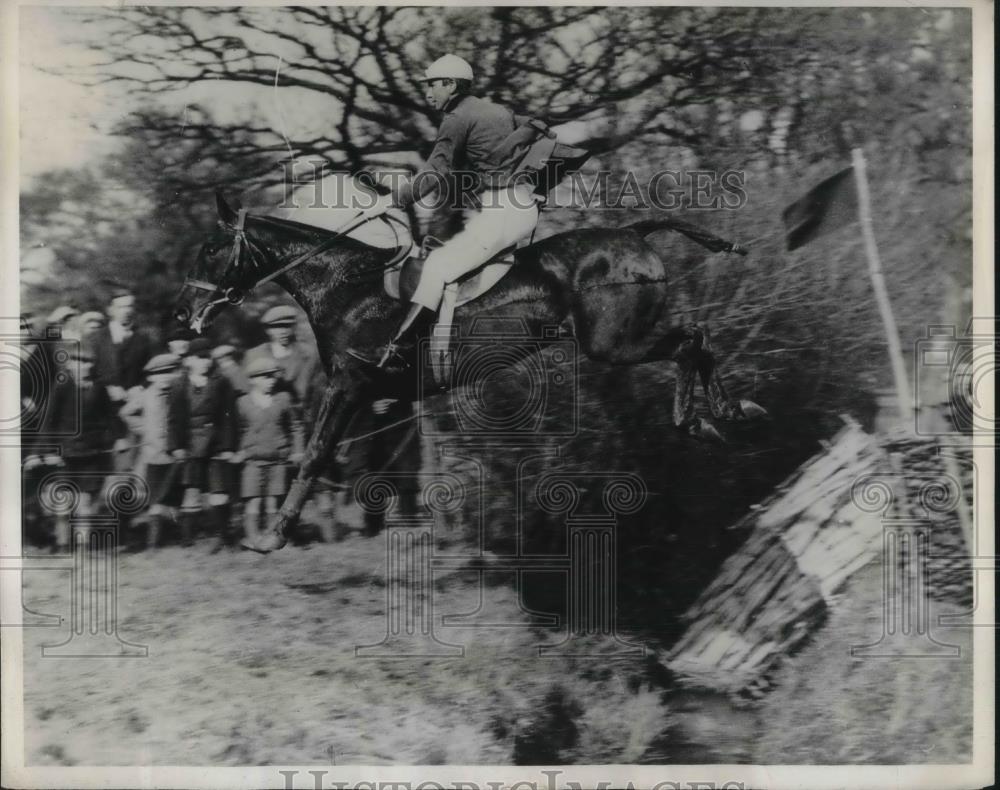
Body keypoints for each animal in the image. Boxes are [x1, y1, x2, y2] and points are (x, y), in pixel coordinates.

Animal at [174, 193, 764, 552]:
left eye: (211, 249)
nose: (184, 314)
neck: (345, 285)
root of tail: (633, 233)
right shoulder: (381, 396)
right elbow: (370, 460)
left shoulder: (350, 385)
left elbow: (317, 453)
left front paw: (273, 535)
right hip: (618, 342)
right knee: (696, 339)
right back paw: (729, 413)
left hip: (611, 344)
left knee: (691, 340)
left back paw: (707, 418)